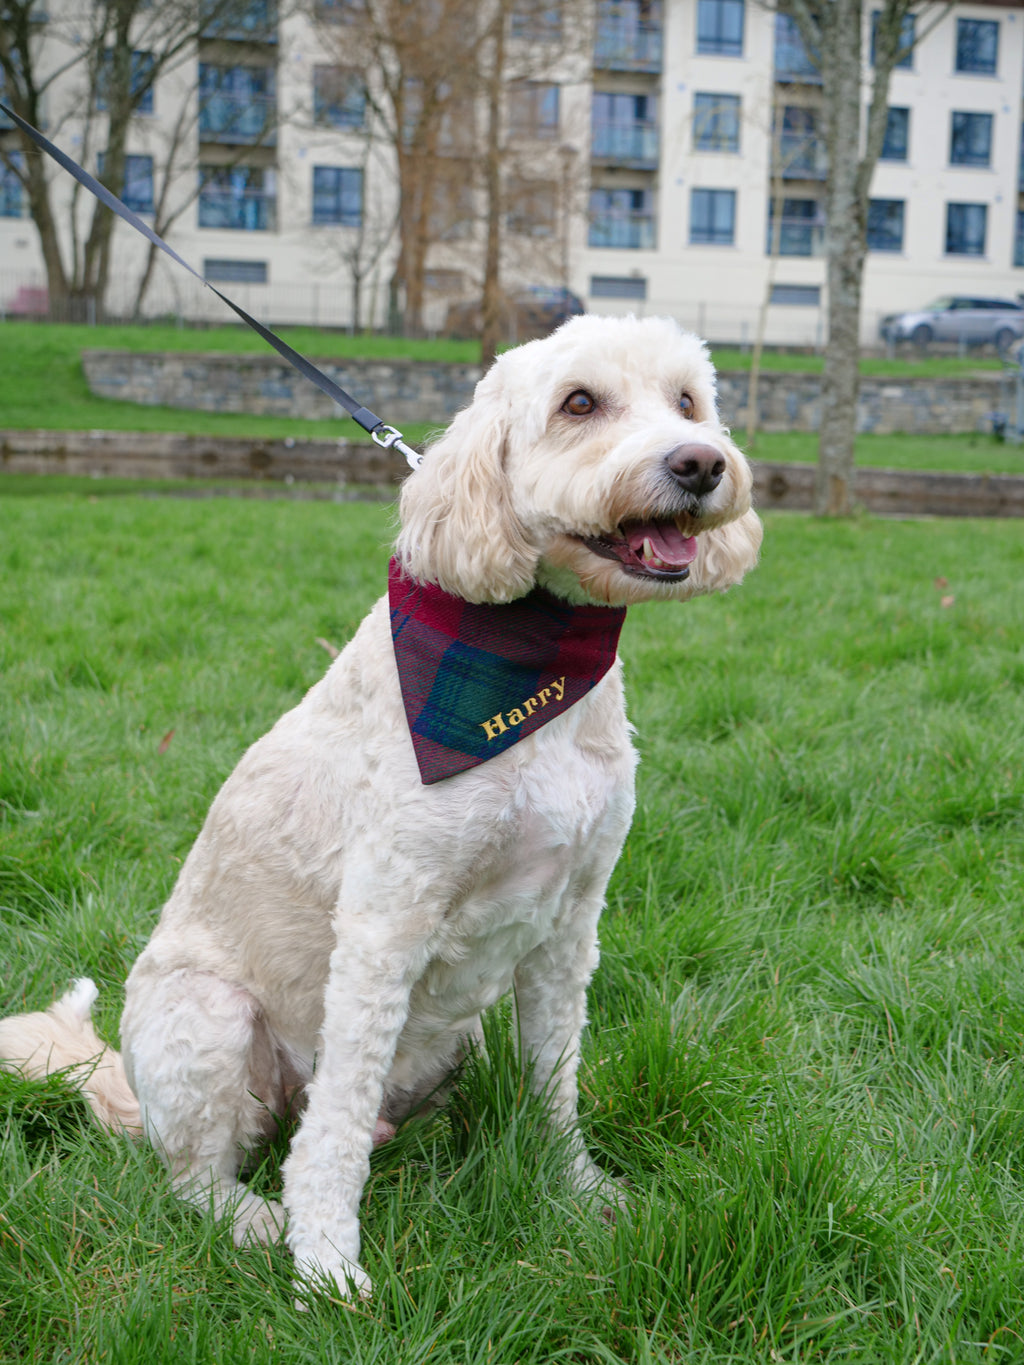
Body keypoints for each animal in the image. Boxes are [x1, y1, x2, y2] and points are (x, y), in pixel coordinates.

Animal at [0, 316, 764, 1299]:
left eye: (688, 402)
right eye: (579, 403)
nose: (701, 463)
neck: (538, 666)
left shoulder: (572, 920)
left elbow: (556, 1072)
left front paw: (574, 1185)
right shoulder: (384, 920)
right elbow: (336, 1116)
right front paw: (326, 1262)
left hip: (462, 1031)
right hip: (206, 1016)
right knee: (198, 1174)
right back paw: (253, 1217)